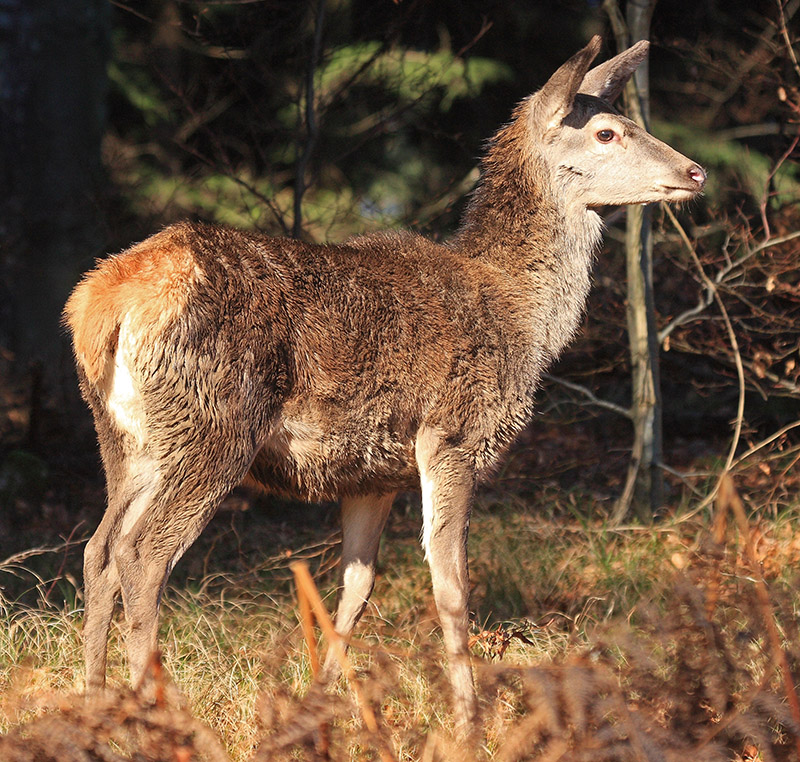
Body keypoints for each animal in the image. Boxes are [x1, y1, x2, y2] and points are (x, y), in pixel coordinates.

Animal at [65, 37, 708, 732]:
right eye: (607, 131)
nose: (696, 171)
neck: (521, 316)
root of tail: (102, 303)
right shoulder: (452, 434)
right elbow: (451, 584)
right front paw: (468, 720)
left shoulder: (372, 473)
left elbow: (356, 587)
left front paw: (318, 706)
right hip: (212, 427)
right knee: (143, 555)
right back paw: (156, 711)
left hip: (125, 439)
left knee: (99, 550)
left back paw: (94, 700)